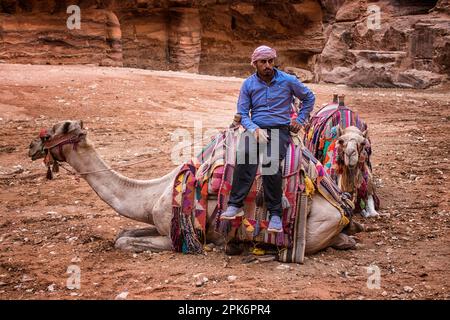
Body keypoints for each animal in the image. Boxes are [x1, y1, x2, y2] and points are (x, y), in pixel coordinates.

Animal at [28, 120, 360, 258]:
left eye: (50, 133)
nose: (31, 146)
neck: (153, 195)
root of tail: (342, 208)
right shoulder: (161, 224)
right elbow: (124, 233)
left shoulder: (178, 236)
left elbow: (124, 242)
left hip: (314, 226)